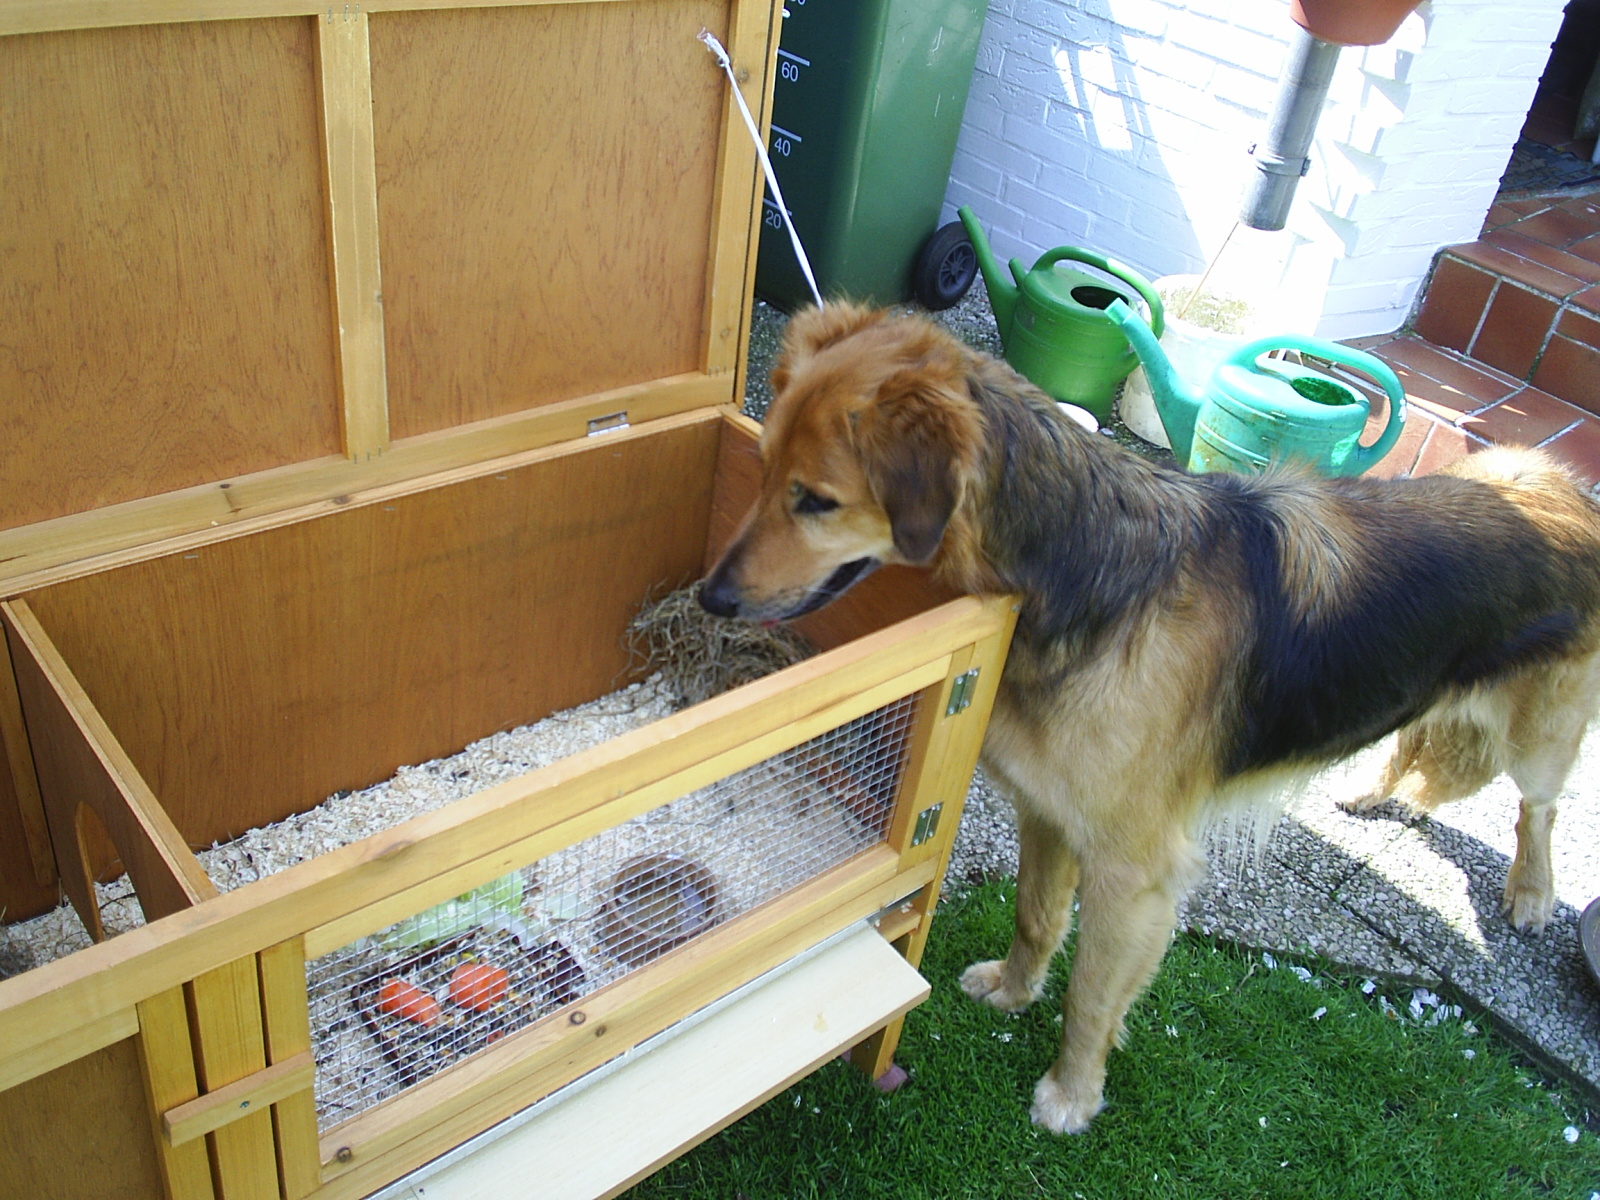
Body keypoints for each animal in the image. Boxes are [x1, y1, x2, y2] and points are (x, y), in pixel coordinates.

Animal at [697, 300, 1600, 1139]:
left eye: (817, 501)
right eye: (764, 467)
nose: (711, 597)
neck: (1078, 574)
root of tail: (1562, 483)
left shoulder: (1134, 873)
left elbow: (1094, 995)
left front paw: (1071, 1093)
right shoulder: (1049, 810)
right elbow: (1036, 918)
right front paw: (1016, 992)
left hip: (1542, 736)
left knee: (1540, 805)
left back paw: (1531, 892)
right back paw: (1376, 792)